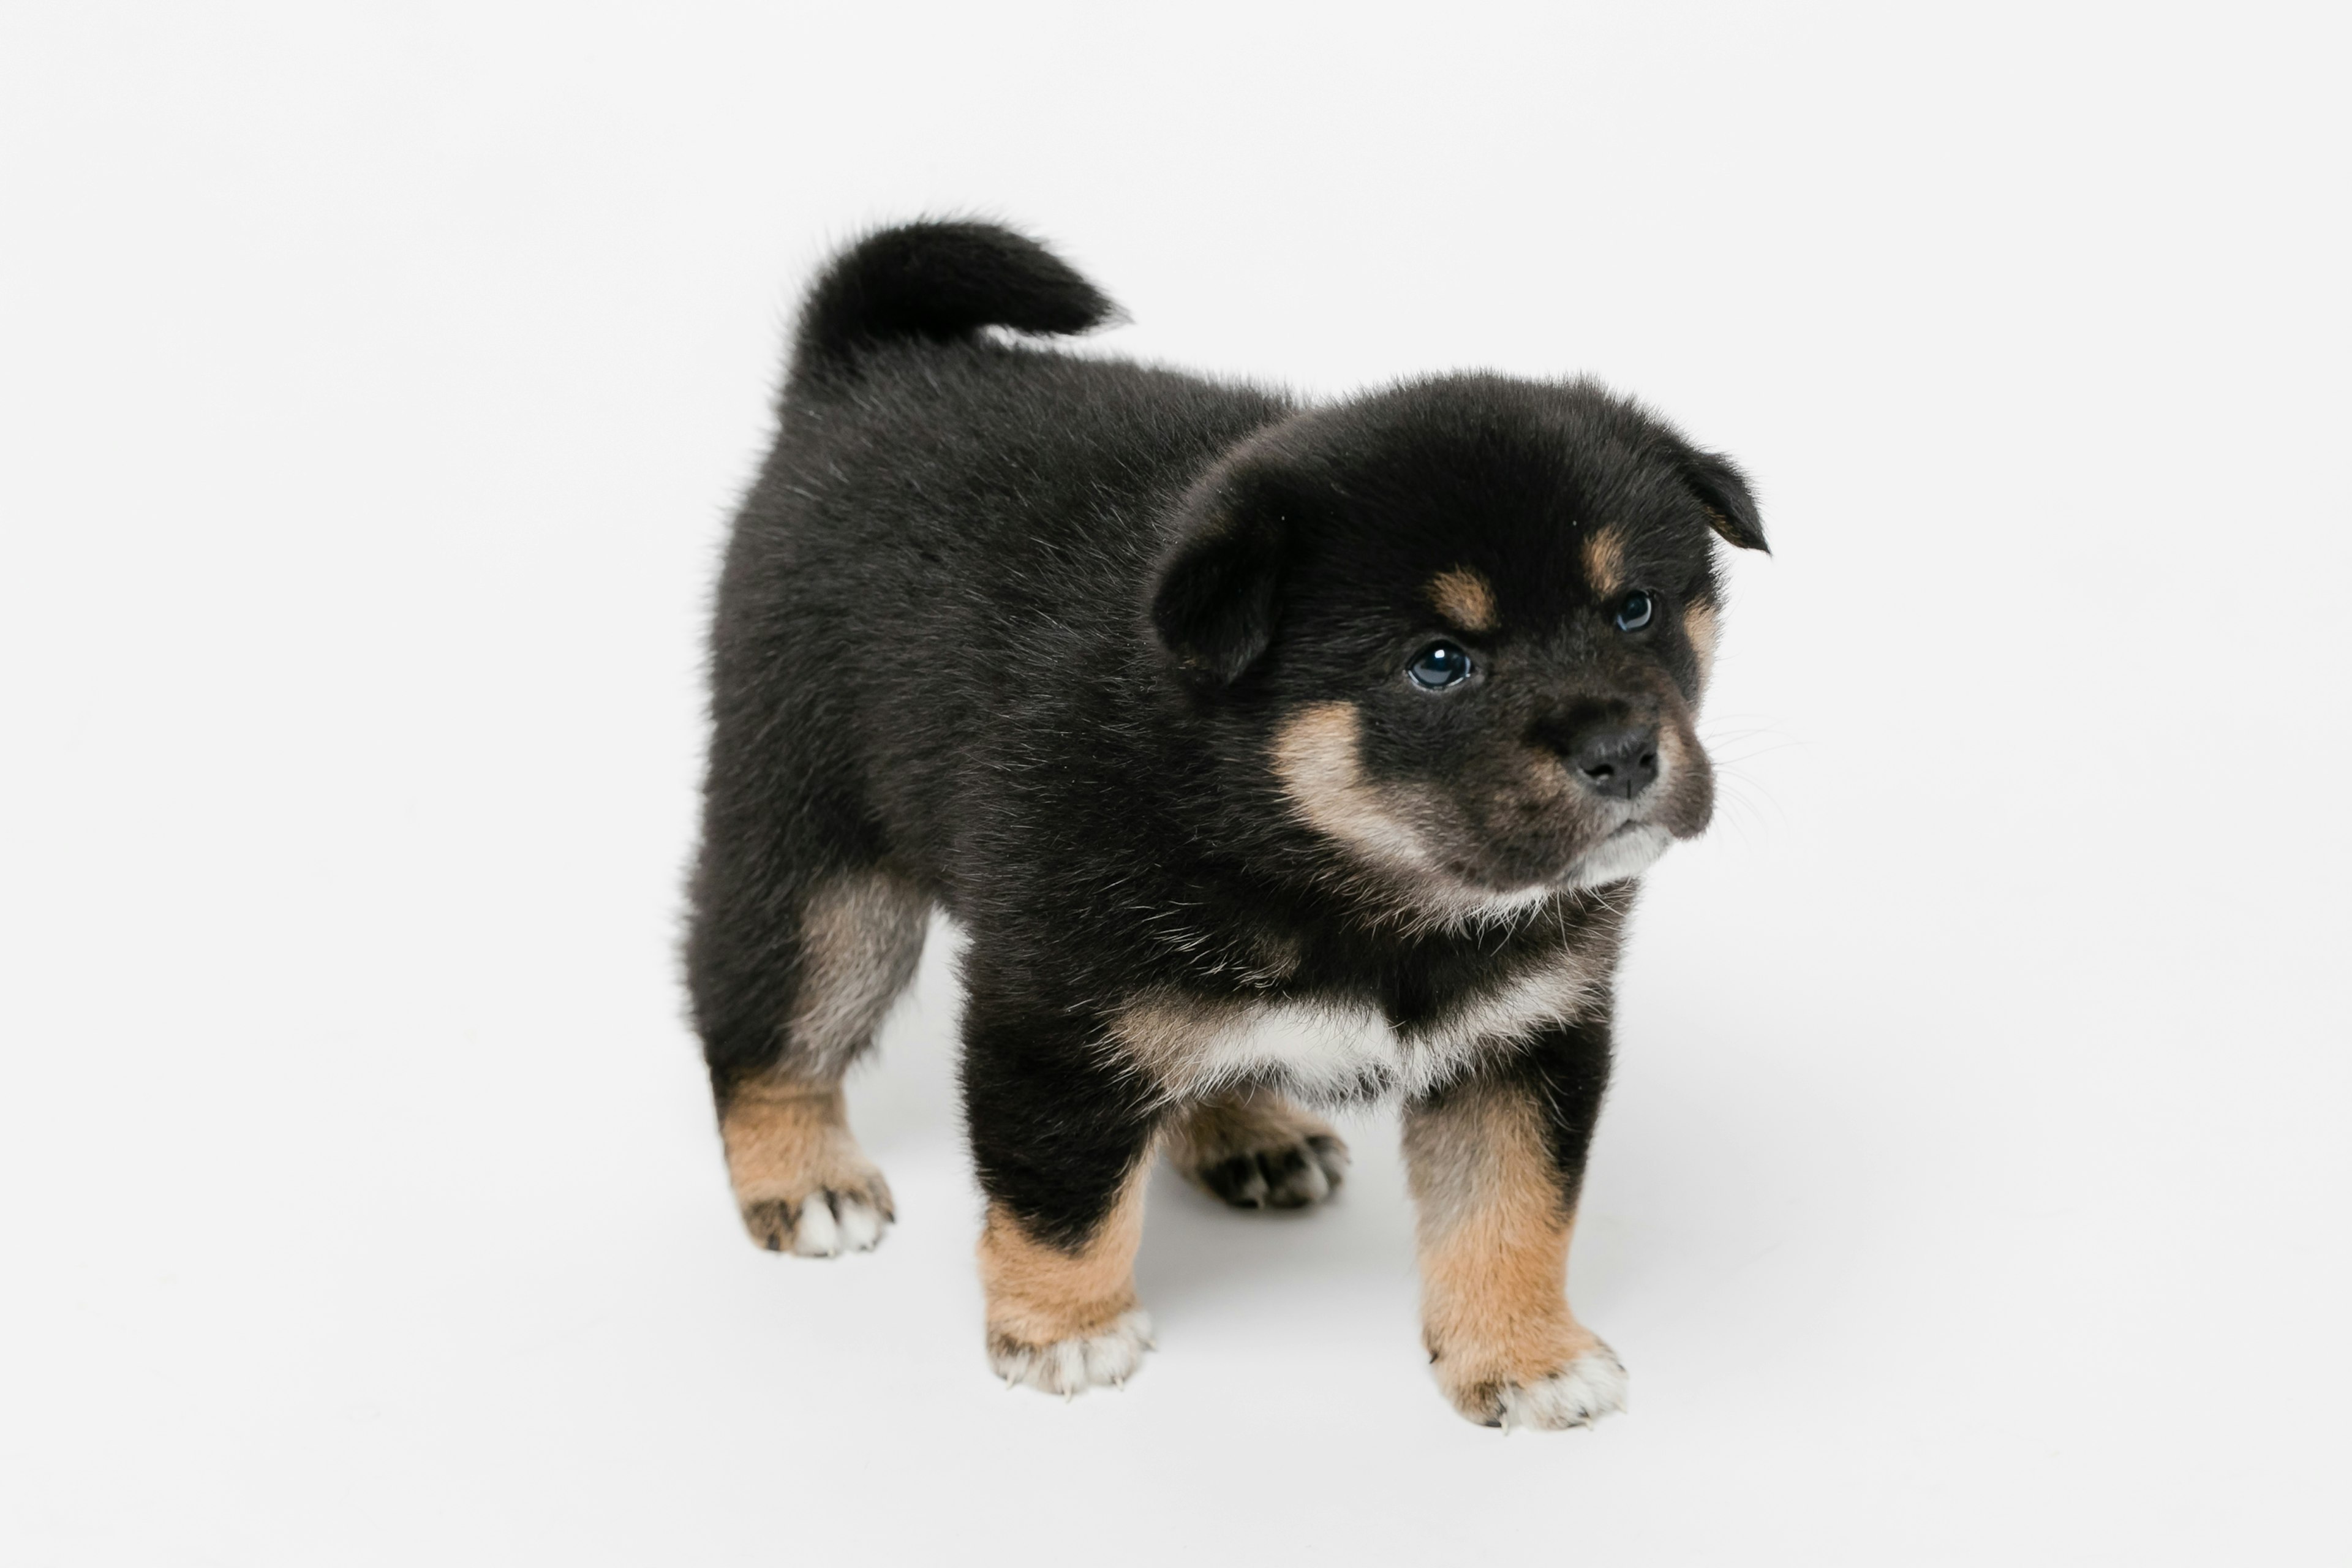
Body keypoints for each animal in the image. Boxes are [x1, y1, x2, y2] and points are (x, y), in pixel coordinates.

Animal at [687, 221, 1768, 1438]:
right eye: (1439, 664)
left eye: (1633, 608)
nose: (1625, 753)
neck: (1328, 857)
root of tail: (864, 374)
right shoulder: (1051, 1016)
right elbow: (1061, 1197)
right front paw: (1065, 1329)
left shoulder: (1524, 1034)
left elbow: (1514, 1209)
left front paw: (1522, 1353)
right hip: (825, 869)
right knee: (765, 1019)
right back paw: (802, 1177)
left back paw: (1252, 1132)